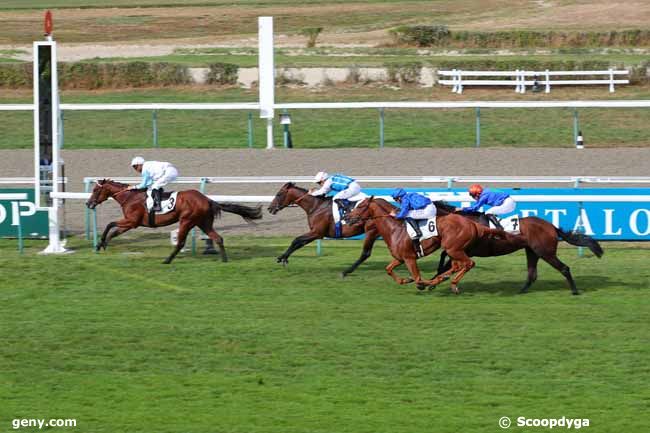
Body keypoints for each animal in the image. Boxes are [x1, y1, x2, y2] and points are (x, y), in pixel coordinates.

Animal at [86, 179, 264, 264]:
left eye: (95, 190)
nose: (88, 203)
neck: (130, 197)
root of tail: (207, 199)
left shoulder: (132, 221)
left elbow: (110, 224)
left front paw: (100, 243)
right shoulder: (130, 223)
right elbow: (114, 231)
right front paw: (102, 244)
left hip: (186, 221)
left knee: (180, 243)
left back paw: (167, 260)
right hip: (203, 223)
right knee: (218, 238)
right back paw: (225, 259)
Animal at [344, 197, 502, 292]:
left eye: (361, 206)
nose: (346, 217)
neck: (394, 229)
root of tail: (474, 224)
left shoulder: (409, 258)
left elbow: (418, 278)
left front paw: (421, 283)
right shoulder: (400, 258)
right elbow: (388, 269)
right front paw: (405, 279)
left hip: (454, 249)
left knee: (468, 264)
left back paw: (444, 282)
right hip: (454, 249)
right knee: (458, 265)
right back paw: (442, 279)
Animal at [430, 202, 604, 296]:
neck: (461, 221)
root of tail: (551, 226)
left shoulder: (465, 251)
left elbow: (445, 264)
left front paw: (430, 284)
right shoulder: (458, 250)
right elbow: (444, 259)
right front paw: (431, 282)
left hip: (545, 252)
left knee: (564, 268)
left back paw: (574, 291)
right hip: (532, 251)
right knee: (532, 274)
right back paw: (521, 290)